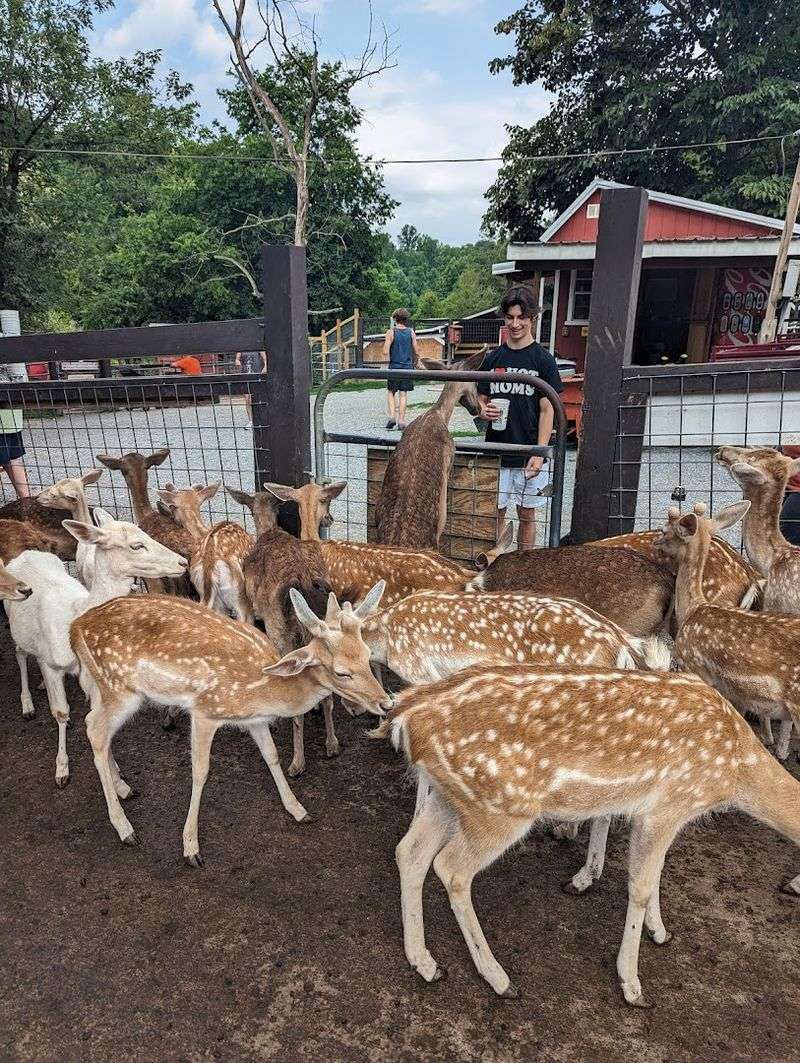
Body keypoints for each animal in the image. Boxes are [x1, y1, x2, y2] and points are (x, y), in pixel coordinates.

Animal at [5, 512, 187, 786]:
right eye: (136, 545)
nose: (183, 561)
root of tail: (26, 554)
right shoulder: (51, 663)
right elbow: (60, 712)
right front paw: (62, 770)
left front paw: (120, 780)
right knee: (20, 652)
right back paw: (27, 704)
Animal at [70, 584, 392, 865]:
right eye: (342, 672)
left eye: (367, 655)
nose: (386, 703)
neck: (265, 690)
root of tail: (75, 627)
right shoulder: (206, 711)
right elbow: (200, 772)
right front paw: (190, 847)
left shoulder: (254, 720)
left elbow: (272, 756)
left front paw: (299, 810)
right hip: (120, 687)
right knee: (94, 728)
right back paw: (125, 828)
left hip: (109, 688)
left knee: (96, 726)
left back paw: (124, 788)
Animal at [372, 662, 800, 1007]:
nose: (791, 886)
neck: (738, 772)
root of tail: (405, 717)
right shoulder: (667, 806)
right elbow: (641, 885)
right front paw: (633, 986)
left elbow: (658, 873)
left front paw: (660, 932)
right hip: (501, 807)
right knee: (451, 868)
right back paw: (500, 980)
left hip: (452, 797)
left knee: (409, 851)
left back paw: (426, 964)